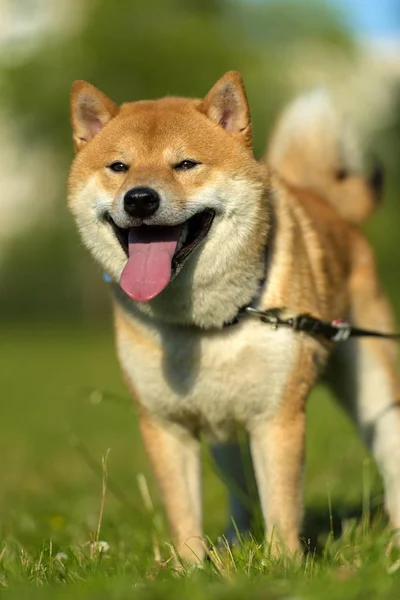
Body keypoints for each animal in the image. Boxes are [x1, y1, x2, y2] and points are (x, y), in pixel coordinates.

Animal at [69, 71, 400, 564]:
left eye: (186, 164)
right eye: (119, 167)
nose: (140, 199)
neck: (206, 325)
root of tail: (326, 203)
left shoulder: (277, 416)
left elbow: (282, 505)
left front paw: (284, 567)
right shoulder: (166, 424)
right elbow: (184, 513)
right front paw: (191, 570)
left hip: (374, 387)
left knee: (390, 454)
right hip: (224, 428)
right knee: (239, 491)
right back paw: (233, 543)